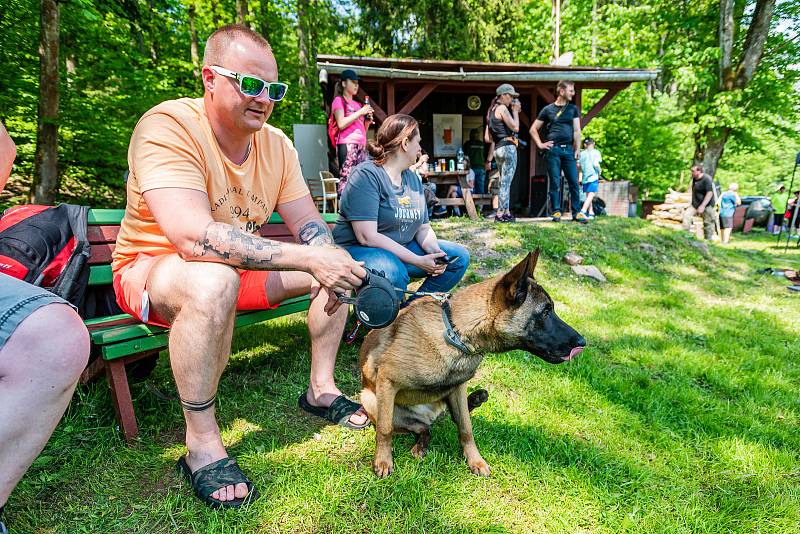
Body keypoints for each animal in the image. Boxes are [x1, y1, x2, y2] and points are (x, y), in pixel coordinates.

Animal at [360, 249, 584, 480]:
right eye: (546, 312)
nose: (582, 342)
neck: (455, 333)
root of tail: (430, 415)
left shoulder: (458, 388)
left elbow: (466, 428)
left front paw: (475, 460)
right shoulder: (387, 381)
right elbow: (384, 429)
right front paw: (383, 460)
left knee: (437, 424)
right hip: (370, 398)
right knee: (416, 427)